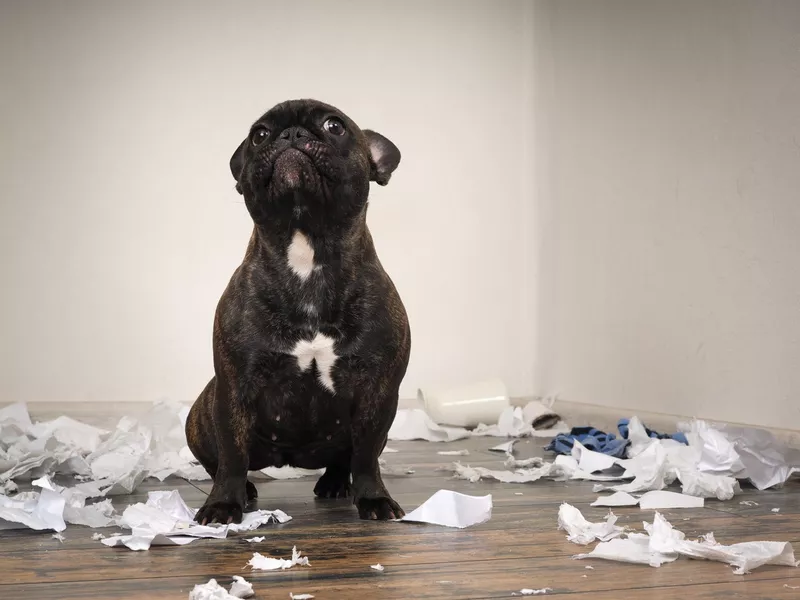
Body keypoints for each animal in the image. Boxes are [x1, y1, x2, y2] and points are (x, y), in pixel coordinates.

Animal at [187, 99, 410, 524]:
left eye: (334, 126)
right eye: (259, 135)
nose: (290, 134)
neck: (307, 249)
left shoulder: (378, 392)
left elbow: (367, 454)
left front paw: (373, 498)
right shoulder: (234, 387)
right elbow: (231, 456)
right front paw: (223, 503)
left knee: (347, 457)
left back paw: (335, 482)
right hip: (201, 416)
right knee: (219, 459)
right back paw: (246, 489)